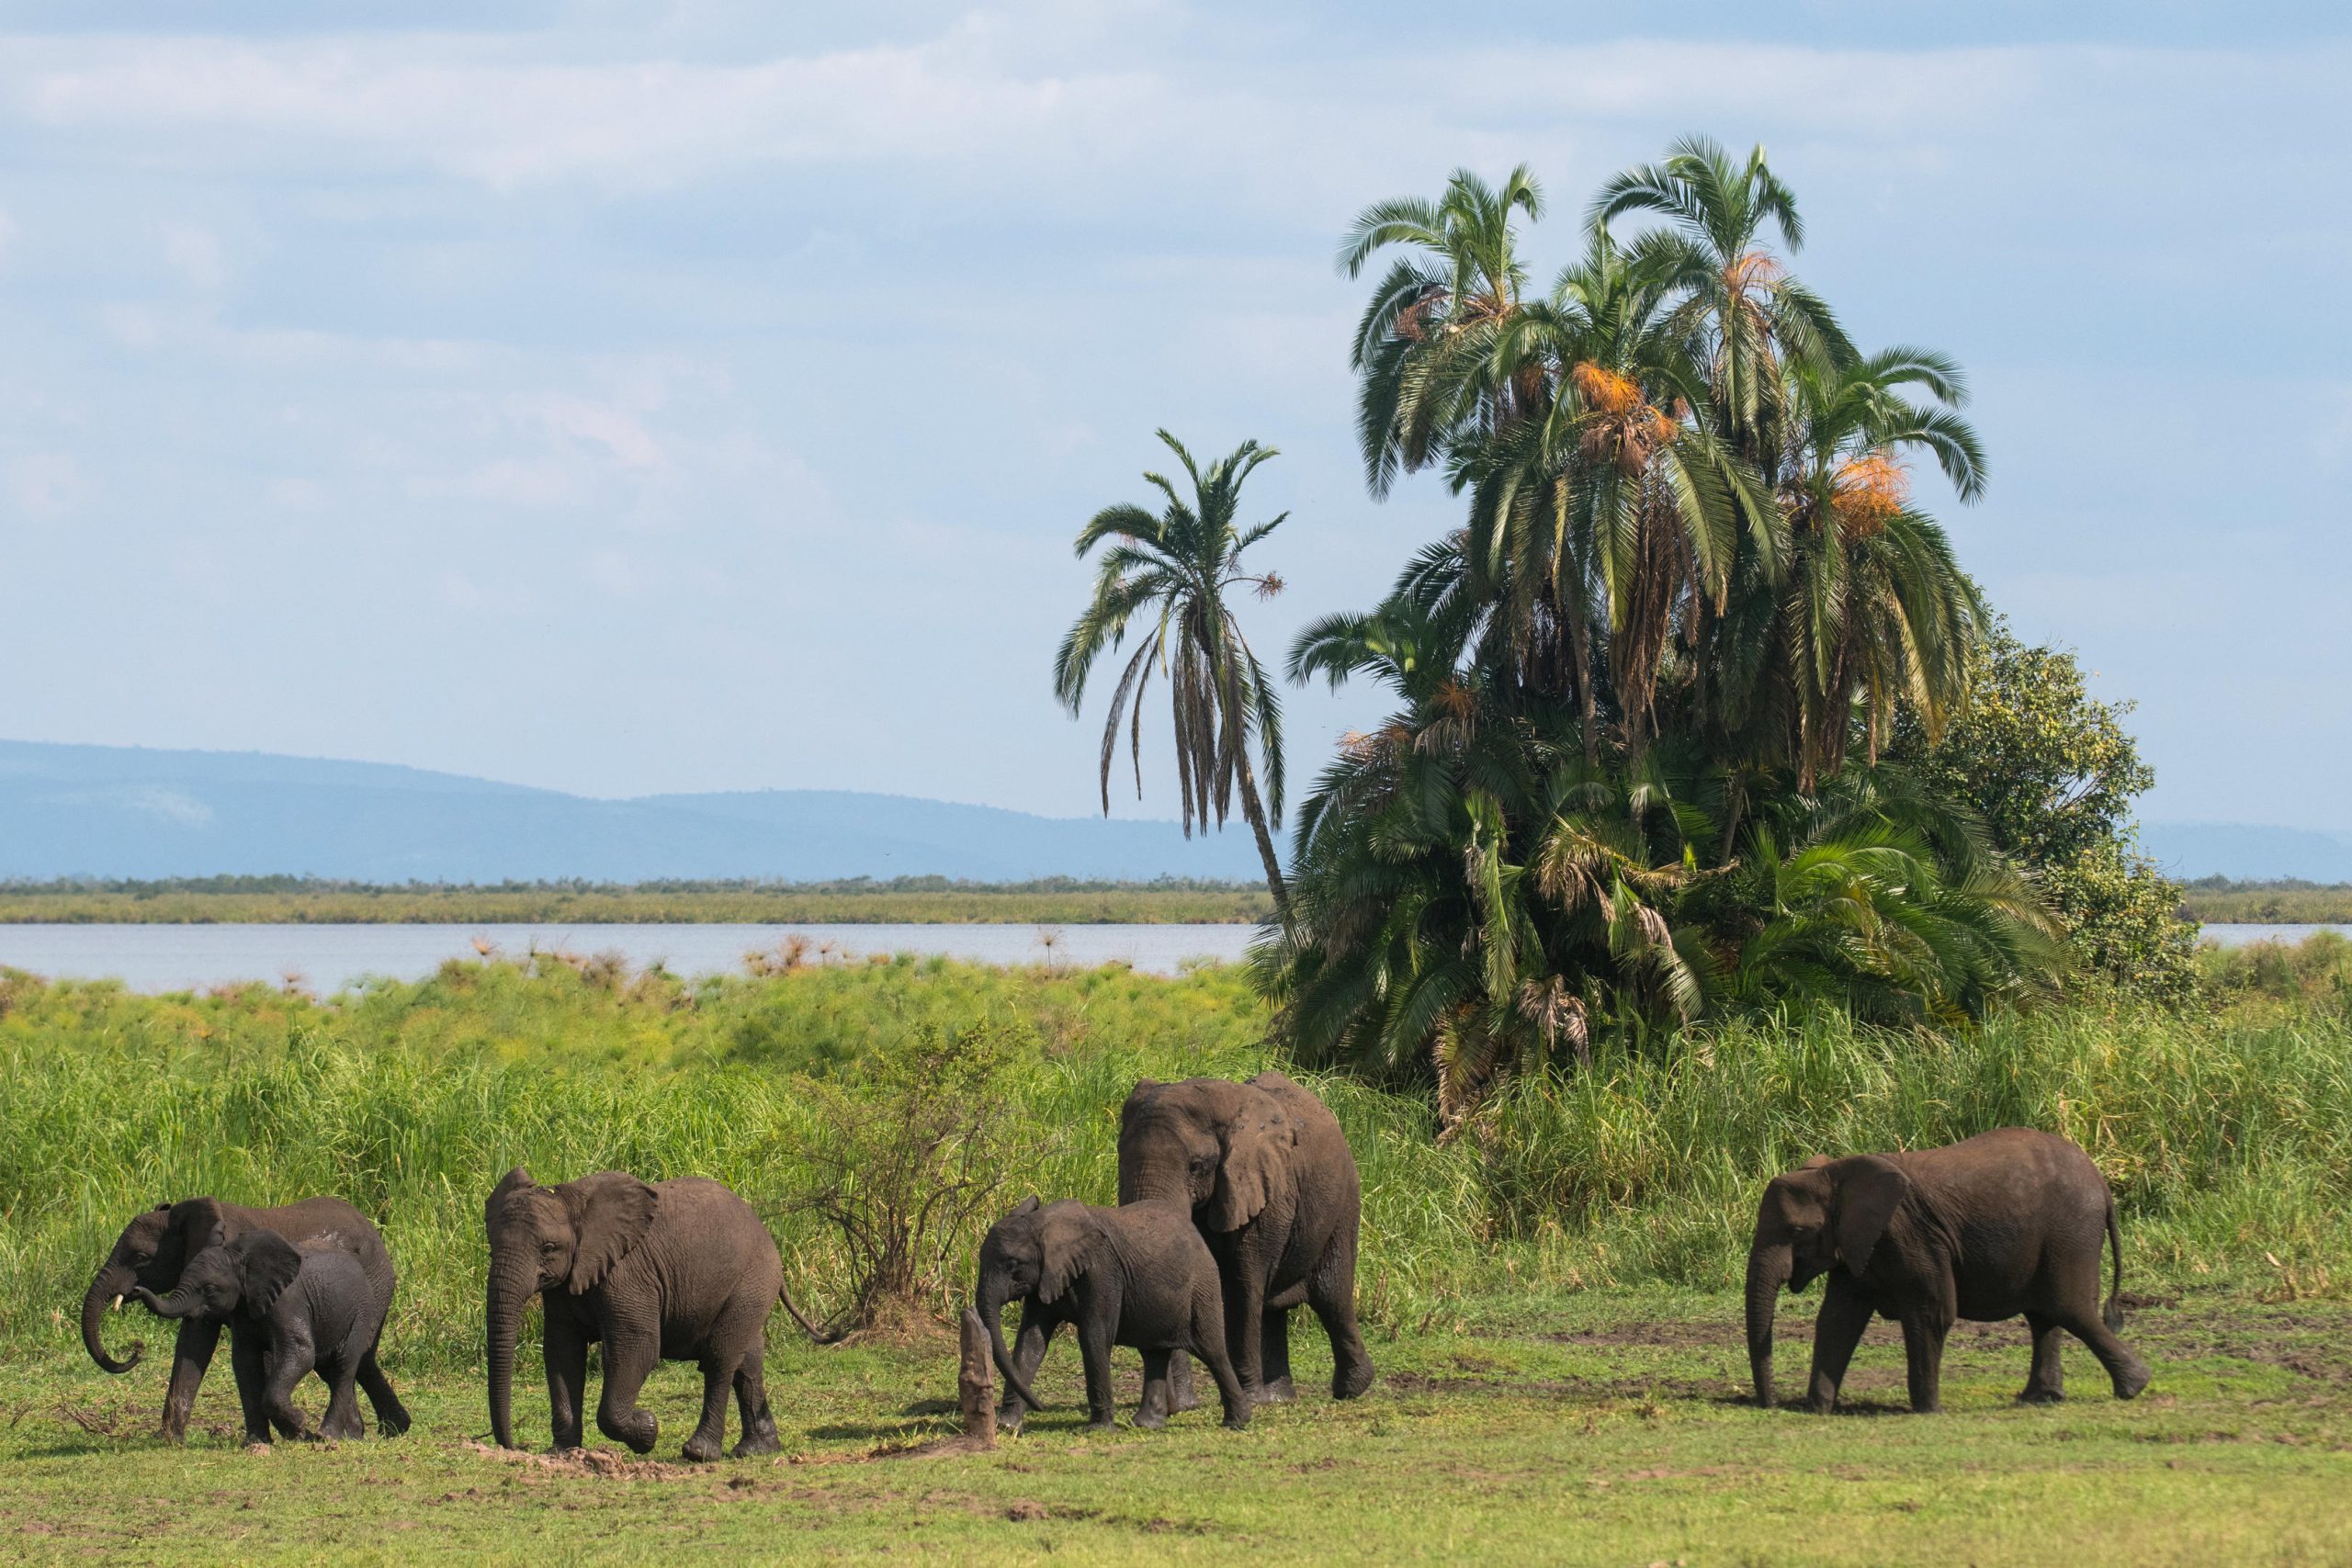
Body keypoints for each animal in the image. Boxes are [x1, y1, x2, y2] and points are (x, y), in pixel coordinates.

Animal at [80, 1203, 406, 1448]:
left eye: (140, 1257)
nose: (133, 1291)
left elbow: (284, 1354)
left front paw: (295, 1430)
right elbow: (203, 1348)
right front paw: (170, 1441)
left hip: (374, 1291)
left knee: (350, 1359)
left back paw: (343, 1434)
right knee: (350, 1363)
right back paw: (374, 1431)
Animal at [481, 1166, 786, 1457]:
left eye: (548, 1248)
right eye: (491, 1250)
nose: (513, 1446)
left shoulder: (628, 1276)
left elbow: (637, 1349)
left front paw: (648, 1430)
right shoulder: (562, 1288)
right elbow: (562, 1354)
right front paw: (561, 1453)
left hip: (752, 1280)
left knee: (720, 1358)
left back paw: (699, 1452)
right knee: (747, 1362)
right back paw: (756, 1450)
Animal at [973, 1203, 1250, 1438]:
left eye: (1013, 1263)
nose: (1040, 1406)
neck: (1040, 1224)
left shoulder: (1102, 1273)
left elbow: (1093, 1337)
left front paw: (1098, 1430)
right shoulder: (1045, 1278)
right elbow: (1031, 1342)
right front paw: (1007, 1426)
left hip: (1202, 1287)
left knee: (1212, 1351)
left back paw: (1237, 1422)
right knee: (1154, 1354)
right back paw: (1145, 1425)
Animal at [1114, 1072, 1374, 1401]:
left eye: (1196, 1166)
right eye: (1121, 1158)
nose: (1179, 1406)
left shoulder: (1265, 1193)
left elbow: (1243, 1284)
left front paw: (1247, 1397)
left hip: (1344, 1201)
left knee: (1331, 1295)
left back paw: (1350, 1389)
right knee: (1276, 1308)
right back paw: (1279, 1398)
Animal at [1749, 1123, 2154, 1419]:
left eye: (1797, 1232)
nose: (1771, 1405)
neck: (1833, 1174)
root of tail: (2101, 1183)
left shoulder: (1912, 1236)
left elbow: (1932, 1312)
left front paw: (1927, 1411)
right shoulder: (1858, 1243)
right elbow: (1838, 1319)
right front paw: (1817, 1410)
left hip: (2070, 1234)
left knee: (2069, 1308)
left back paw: (2133, 1387)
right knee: (2046, 1316)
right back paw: (2040, 1399)